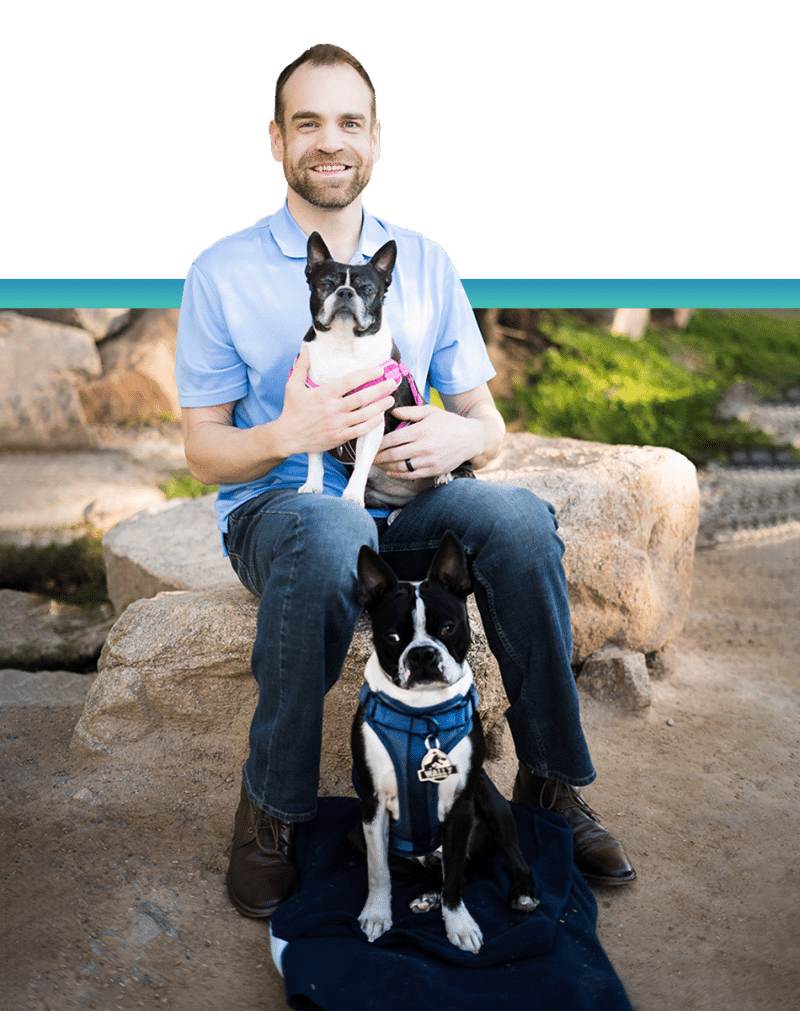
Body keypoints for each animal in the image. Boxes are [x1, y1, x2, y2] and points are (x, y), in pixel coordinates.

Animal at [297, 231, 457, 509]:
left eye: (368, 290)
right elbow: (314, 454)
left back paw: (443, 475)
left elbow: (362, 461)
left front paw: (351, 495)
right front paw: (313, 485)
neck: (343, 343)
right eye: (326, 284)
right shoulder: (314, 411)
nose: (345, 292)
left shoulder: (373, 417)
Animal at [351, 533, 534, 950]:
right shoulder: (371, 805)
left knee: (498, 858)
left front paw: (458, 923)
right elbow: (378, 870)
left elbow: (455, 882)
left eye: (448, 628)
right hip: (356, 833)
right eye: (393, 637)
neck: (422, 714)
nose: (421, 653)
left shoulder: (460, 807)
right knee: (440, 869)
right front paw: (377, 913)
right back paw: (427, 897)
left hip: (491, 802)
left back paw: (521, 892)